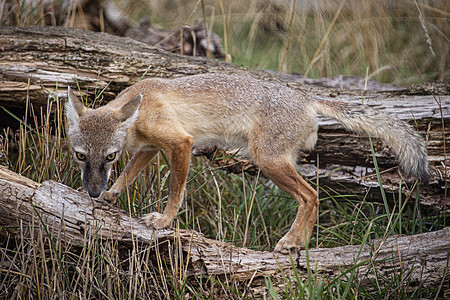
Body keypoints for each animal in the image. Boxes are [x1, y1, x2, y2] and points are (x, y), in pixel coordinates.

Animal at [66, 72, 428, 253]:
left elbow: (175, 191)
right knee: (311, 196)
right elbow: (127, 176)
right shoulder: (150, 149)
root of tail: (305, 96)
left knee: (311, 195)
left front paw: (165, 221)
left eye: (109, 156)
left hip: (267, 162)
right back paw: (300, 242)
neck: (140, 113)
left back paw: (293, 242)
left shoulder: (181, 143)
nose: (93, 193)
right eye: (80, 155)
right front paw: (111, 195)